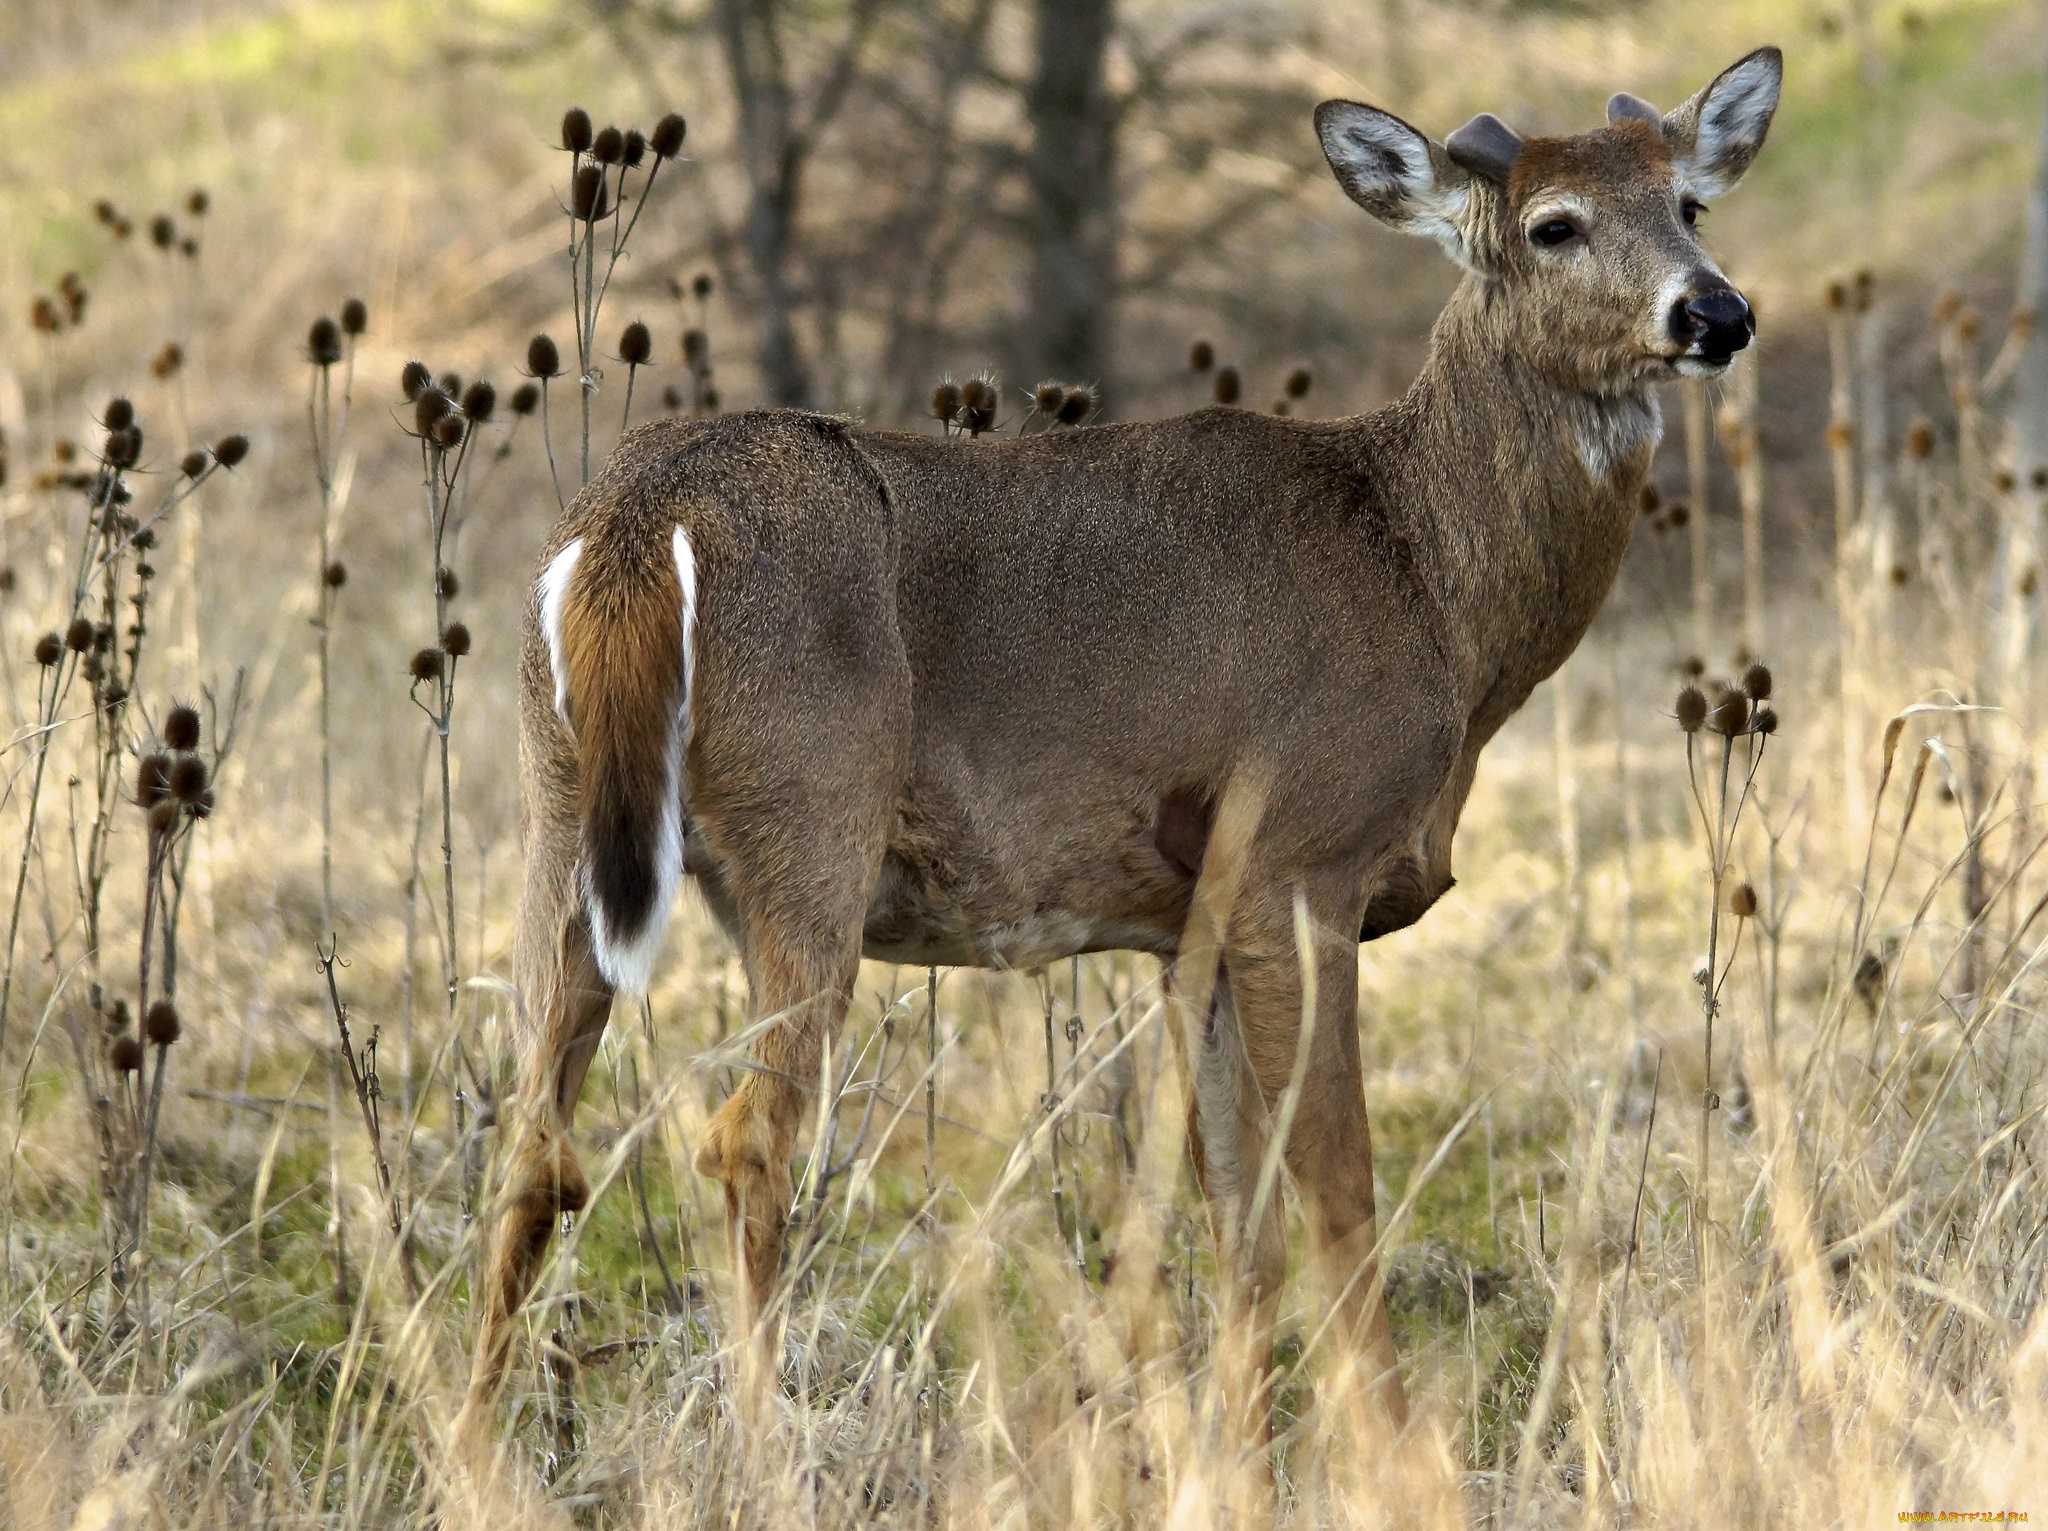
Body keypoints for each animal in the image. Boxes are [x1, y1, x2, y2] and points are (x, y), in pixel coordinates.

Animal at [460, 41, 1777, 1457]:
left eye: (1688, 204)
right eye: (1553, 226)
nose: (1714, 312)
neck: (1427, 577)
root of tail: (630, 533)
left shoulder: (1183, 917)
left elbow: (1235, 1215)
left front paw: (1238, 1448)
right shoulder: (1293, 854)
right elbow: (1334, 1184)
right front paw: (1384, 1445)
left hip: (559, 818)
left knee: (531, 1140)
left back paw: (474, 1454)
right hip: (809, 811)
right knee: (746, 1139)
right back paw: (762, 1457)